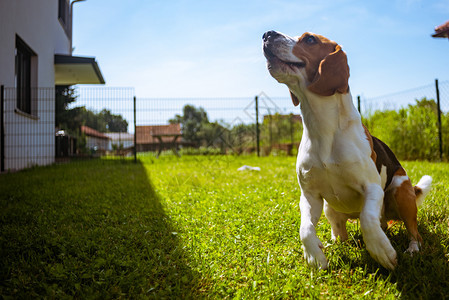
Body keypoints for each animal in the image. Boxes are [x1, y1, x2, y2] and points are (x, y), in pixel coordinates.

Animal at [262, 30, 430, 270]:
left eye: (310, 39)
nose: (267, 34)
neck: (322, 127)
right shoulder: (310, 195)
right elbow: (305, 229)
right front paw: (314, 256)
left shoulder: (371, 187)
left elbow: (368, 220)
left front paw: (381, 251)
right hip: (329, 208)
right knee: (342, 233)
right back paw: (334, 243)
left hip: (401, 192)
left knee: (413, 232)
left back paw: (412, 249)